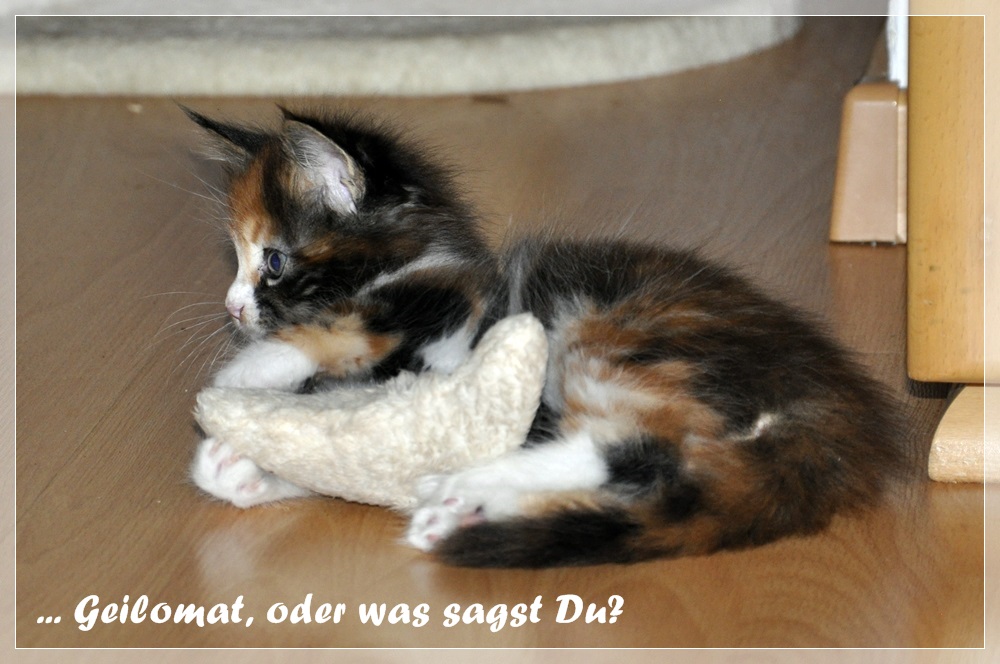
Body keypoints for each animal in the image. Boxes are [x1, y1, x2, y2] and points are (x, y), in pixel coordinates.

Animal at [185, 107, 907, 568]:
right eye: (235, 260)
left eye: (273, 262)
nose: (232, 307)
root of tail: (834, 410)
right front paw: (243, 466)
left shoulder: (452, 312)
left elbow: (354, 335)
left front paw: (246, 378)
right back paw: (465, 505)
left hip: (609, 336)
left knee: (639, 451)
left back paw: (460, 484)